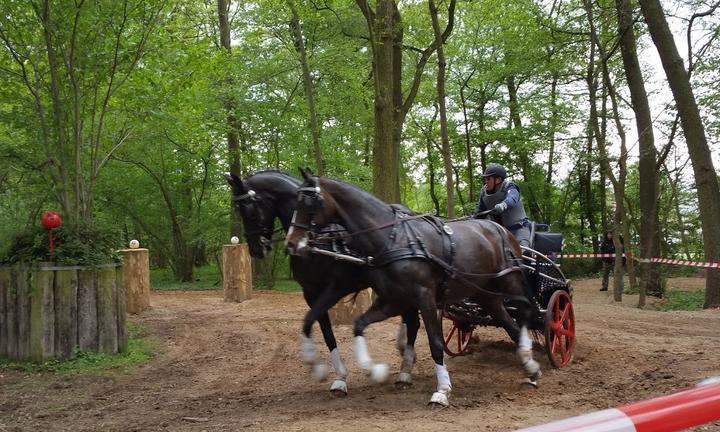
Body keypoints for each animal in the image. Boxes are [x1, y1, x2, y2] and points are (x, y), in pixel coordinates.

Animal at [222, 171, 420, 394]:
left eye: (250, 208)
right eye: (238, 208)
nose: (256, 249)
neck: (318, 240)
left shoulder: (337, 287)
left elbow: (311, 321)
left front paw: (319, 368)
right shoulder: (311, 293)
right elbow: (322, 330)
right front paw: (339, 376)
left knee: (413, 321)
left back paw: (405, 368)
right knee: (410, 318)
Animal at [286, 170, 540, 408]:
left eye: (310, 201)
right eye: (294, 201)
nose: (292, 243)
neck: (392, 239)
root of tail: (501, 231)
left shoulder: (424, 297)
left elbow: (435, 343)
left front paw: (442, 390)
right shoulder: (392, 300)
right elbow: (359, 325)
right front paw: (374, 370)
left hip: (510, 283)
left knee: (525, 315)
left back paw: (530, 357)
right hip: (485, 294)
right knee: (510, 325)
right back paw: (530, 369)